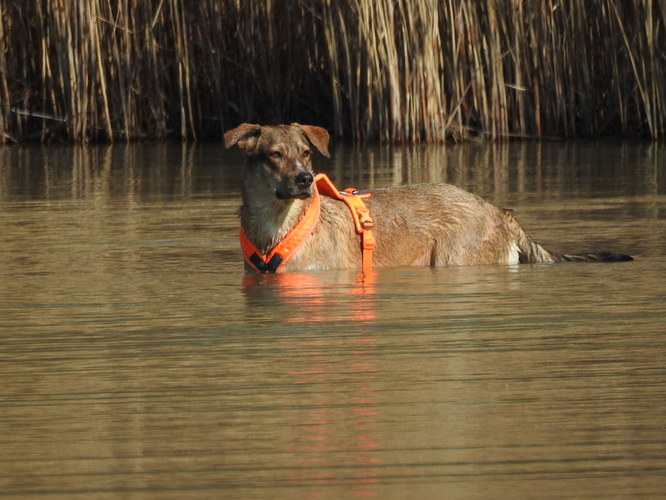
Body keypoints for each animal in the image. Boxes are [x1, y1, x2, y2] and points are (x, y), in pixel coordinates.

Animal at [222, 124, 628, 274]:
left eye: (306, 153)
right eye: (274, 155)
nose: (305, 179)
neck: (276, 223)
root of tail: (498, 211)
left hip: (455, 258)